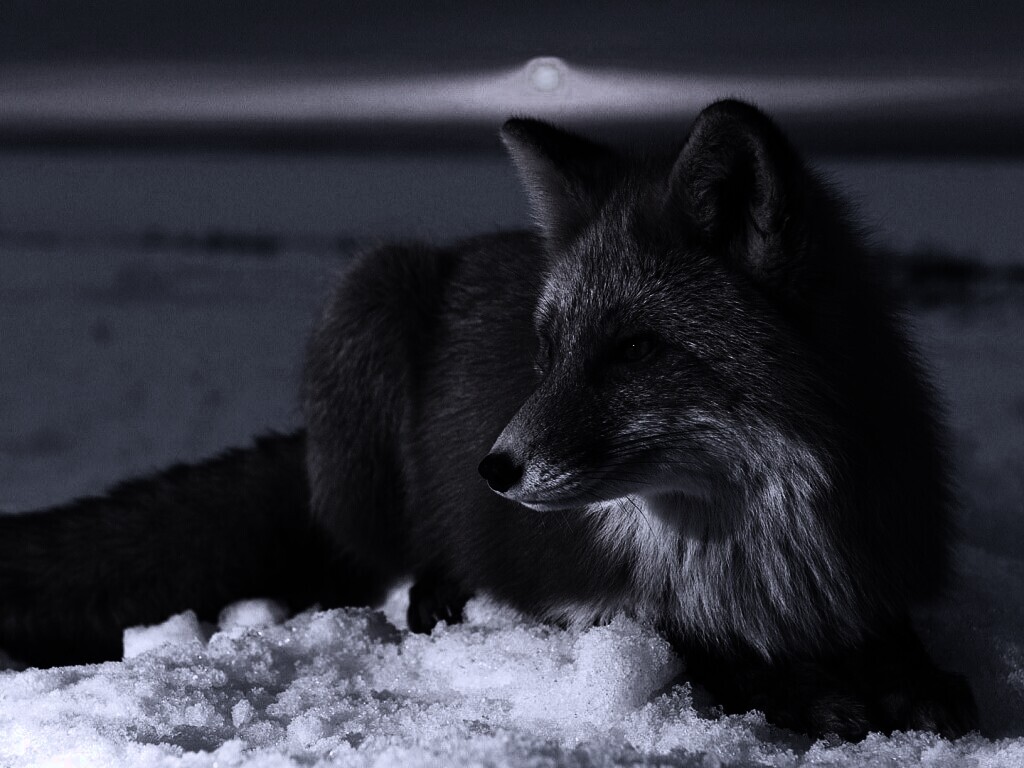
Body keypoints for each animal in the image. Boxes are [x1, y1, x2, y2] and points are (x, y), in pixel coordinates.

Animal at [0, 100, 977, 740]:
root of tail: (468, 245)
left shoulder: (875, 567)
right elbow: (697, 648)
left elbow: (903, 645)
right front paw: (805, 691)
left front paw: (911, 682)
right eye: (547, 351)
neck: (757, 547)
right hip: (369, 297)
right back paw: (440, 591)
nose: (492, 469)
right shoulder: (593, 595)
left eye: (633, 349)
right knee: (387, 559)